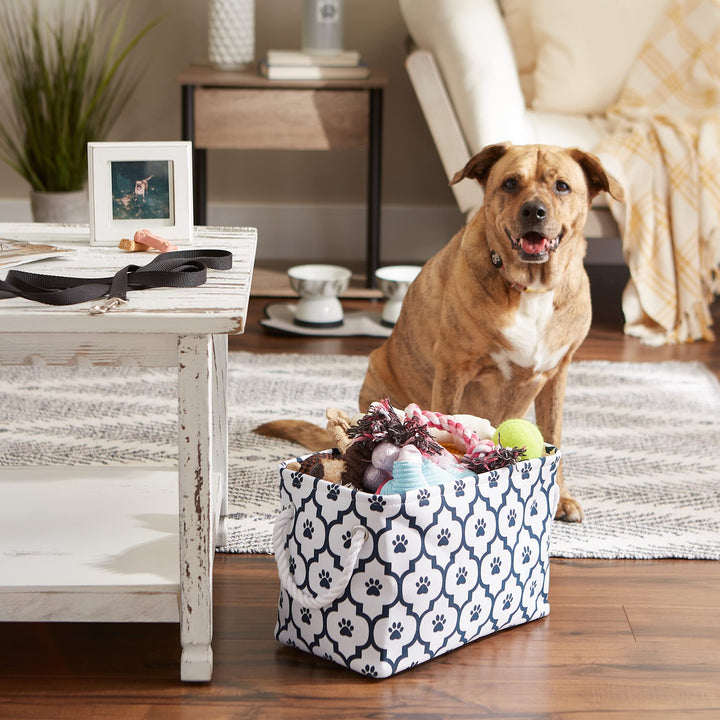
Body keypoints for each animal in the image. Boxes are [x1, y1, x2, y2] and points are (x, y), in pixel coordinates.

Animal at [362, 142, 620, 524]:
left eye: (561, 186)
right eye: (510, 183)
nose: (534, 211)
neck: (530, 287)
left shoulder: (558, 374)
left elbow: (555, 432)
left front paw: (561, 497)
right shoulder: (453, 368)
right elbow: (445, 421)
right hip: (377, 370)